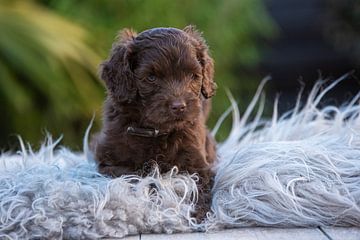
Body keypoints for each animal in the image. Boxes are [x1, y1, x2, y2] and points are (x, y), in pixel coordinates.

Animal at [91, 26, 218, 219]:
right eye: (151, 78)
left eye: (192, 76)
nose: (179, 106)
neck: (158, 132)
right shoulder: (112, 163)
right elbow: (142, 177)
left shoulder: (198, 163)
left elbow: (198, 183)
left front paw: (199, 212)